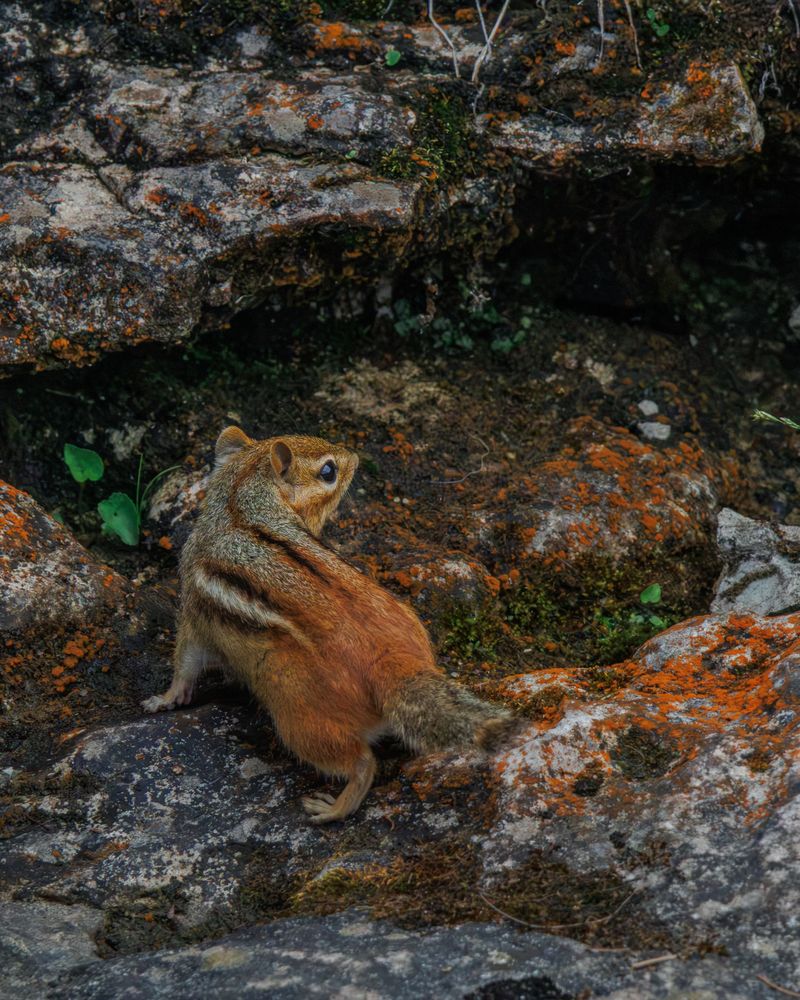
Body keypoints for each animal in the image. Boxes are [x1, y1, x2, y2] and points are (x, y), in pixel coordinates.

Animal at [142, 427, 512, 823]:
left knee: (362, 763)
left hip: (300, 725)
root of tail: (394, 661)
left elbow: (184, 666)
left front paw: (163, 699)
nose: (355, 456)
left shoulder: (193, 616)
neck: (236, 505)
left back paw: (331, 809)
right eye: (329, 471)